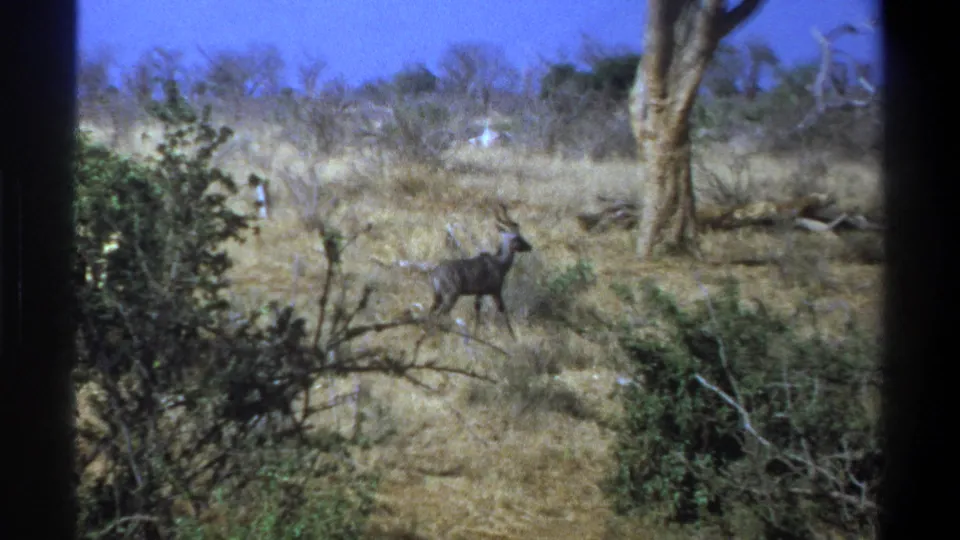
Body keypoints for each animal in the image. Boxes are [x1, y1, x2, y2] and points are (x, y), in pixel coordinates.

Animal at [428, 202, 533, 340]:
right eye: (517, 238)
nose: (530, 246)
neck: (500, 264)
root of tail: (434, 274)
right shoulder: (495, 290)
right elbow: (503, 311)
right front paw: (513, 338)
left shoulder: (480, 293)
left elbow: (477, 313)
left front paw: (475, 334)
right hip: (451, 295)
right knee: (439, 313)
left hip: (438, 295)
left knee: (430, 311)